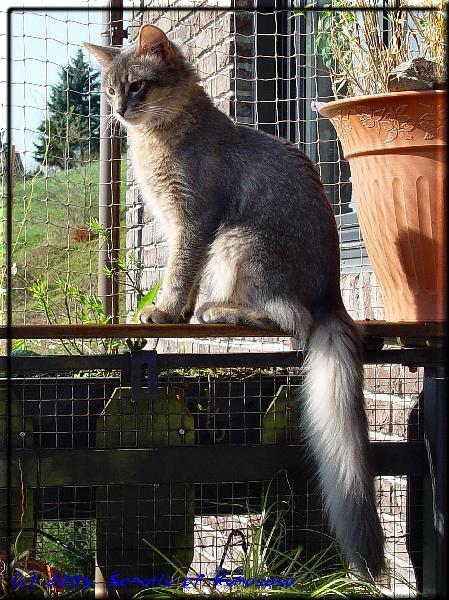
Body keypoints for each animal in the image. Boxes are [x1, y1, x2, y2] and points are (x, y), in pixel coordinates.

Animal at [85, 24, 384, 580]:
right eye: (110, 91)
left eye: (137, 86)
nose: (119, 112)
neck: (160, 138)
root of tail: (334, 295)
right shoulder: (176, 222)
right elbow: (179, 273)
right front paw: (174, 311)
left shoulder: (195, 219)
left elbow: (180, 272)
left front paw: (166, 312)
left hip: (240, 240)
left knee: (293, 319)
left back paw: (218, 310)